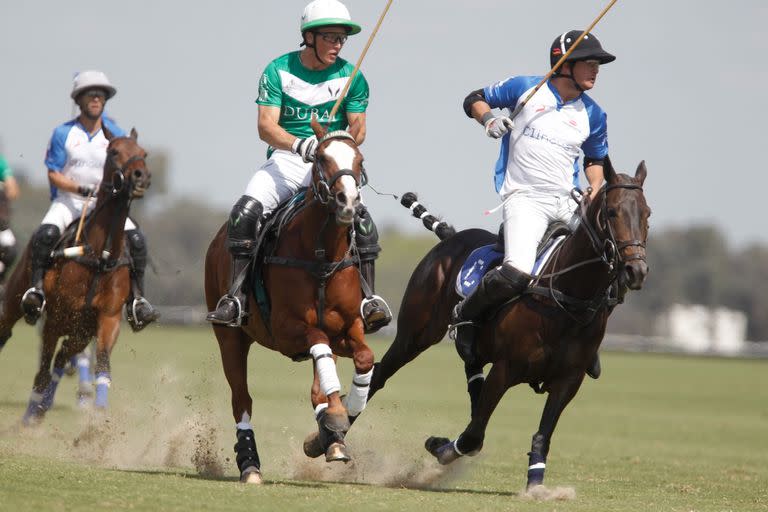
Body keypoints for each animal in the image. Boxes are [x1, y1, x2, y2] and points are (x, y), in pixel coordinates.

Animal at [0, 128, 152, 424]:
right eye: (114, 151)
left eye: (143, 152)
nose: (140, 176)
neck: (100, 254)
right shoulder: (55, 319)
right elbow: (42, 372)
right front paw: (29, 416)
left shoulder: (108, 318)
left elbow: (102, 365)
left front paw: (98, 418)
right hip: (17, 299)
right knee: (8, 330)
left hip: (81, 328)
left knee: (64, 356)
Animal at [202, 119, 374, 484]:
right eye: (321, 158)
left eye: (359, 160)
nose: (348, 202)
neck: (322, 254)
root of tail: (218, 238)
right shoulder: (286, 329)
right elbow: (318, 342)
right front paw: (335, 418)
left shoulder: (348, 326)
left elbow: (364, 358)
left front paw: (341, 417)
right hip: (230, 336)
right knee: (242, 398)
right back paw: (250, 464)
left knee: (317, 385)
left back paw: (331, 434)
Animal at [360, 156, 648, 488]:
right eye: (612, 212)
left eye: (647, 214)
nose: (636, 270)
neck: (565, 298)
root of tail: (451, 235)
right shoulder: (505, 369)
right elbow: (473, 436)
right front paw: (439, 446)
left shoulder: (568, 380)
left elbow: (539, 435)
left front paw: (536, 485)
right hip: (414, 335)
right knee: (379, 375)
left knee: (471, 370)